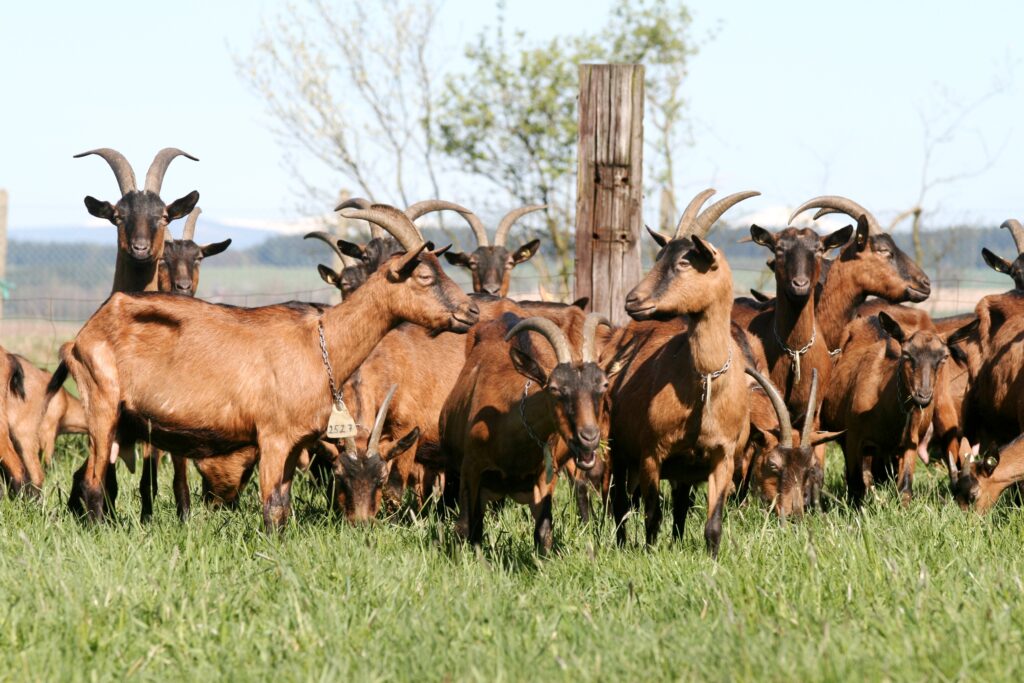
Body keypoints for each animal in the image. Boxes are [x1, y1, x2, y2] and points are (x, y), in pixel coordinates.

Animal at [58, 202, 481, 532]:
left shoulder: (297, 443)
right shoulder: (272, 437)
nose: (471, 311)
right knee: (93, 482)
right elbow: (271, 507)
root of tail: (83, 334)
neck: (319, 343)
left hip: (123, 420)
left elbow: (284, 505)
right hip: (101, 404)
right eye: (425, 276)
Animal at [440, 311, 614, 557]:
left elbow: (544, 532)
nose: (588, 437)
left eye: (603, 385)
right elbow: (465, 526)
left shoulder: (545, 478)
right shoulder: (471, 468)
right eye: (555, 388)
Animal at [610, 188, 757, 557]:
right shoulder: (651, 453)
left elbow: (712, 524)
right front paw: (649, 555)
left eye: (684, 262)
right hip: (620, 450)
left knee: (677, 506)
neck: (704, 382)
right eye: (659, 256)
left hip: (685, 469)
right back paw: (621, 545)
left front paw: (713, 560)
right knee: (621, 505)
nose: (633, 300)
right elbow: (651, 515)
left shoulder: (723, 458)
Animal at [819, 313, 970, 505]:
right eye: (906, 354)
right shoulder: (853, 437)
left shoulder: (910, 441)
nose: (923, 395)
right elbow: (856, 485)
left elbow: (905, 488)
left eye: (944, 357)